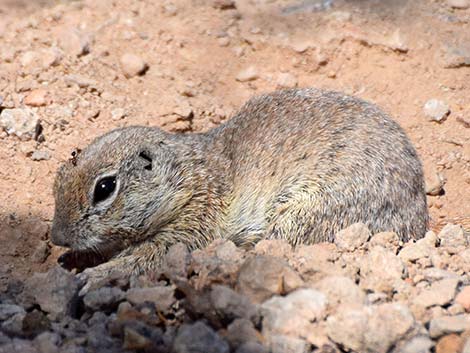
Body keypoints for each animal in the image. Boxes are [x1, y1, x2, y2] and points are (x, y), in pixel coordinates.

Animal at [50, 88, 430, 286]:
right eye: (60, 174)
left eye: (105, 187)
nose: (57, 238)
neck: (189, 178)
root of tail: (419, 223)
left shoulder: (193, 224)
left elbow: (150, 256)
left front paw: (93, 276)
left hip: (309, 212)